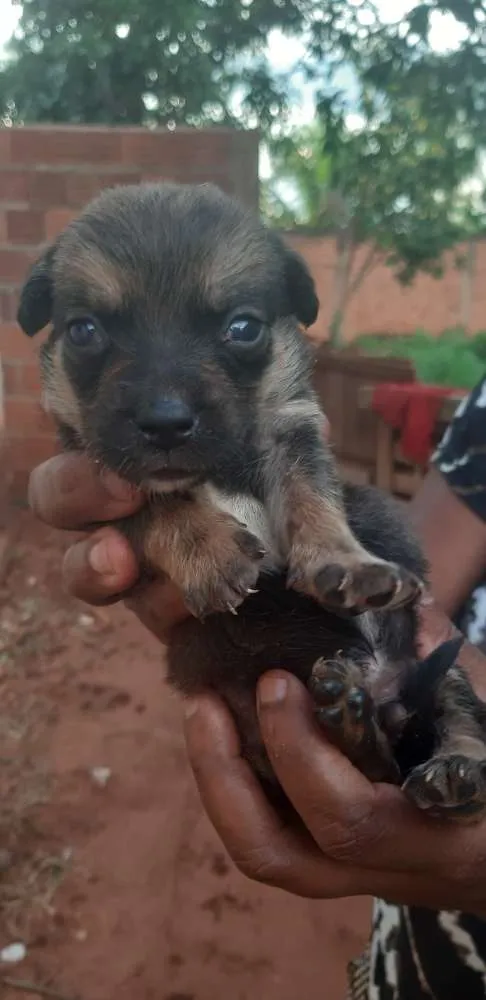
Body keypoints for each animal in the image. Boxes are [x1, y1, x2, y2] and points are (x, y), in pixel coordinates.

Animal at [19, 180, 486, 820]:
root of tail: (384, 688)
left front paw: (347, 564)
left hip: (439, 668)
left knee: (451, 718)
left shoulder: (294, 430)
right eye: (84, 332)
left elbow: (313, 498)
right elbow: (158, 504)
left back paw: (451, 768)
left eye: (243, 328)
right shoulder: (103, 476)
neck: (221, 469)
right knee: (378, 763)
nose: (165, 423)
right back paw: (352, 718)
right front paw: (208, 550)